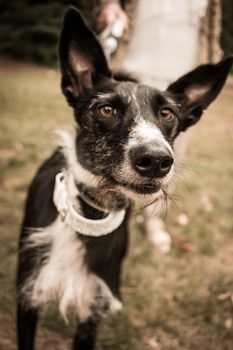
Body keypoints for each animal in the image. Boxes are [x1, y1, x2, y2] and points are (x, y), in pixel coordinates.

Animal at [17, 6, 232, 350]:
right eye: (106, 109)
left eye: (167, 114)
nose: (156, 161)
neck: (89, 211)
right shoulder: (28, 296)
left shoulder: (93, 306)